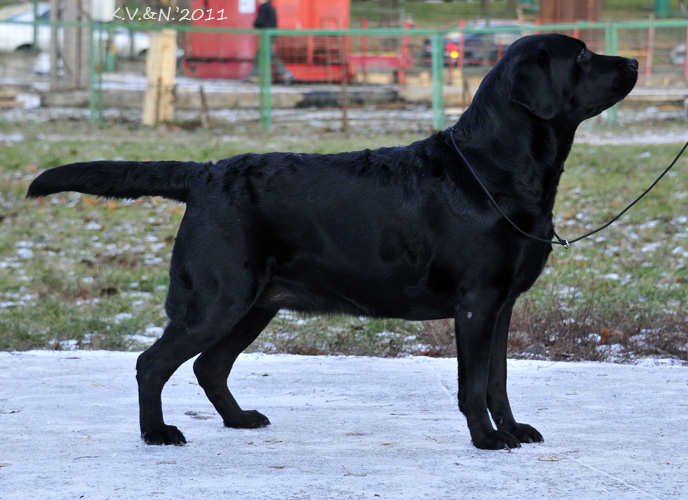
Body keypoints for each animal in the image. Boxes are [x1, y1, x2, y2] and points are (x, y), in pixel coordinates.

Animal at [28, 35, 640, 450]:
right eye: (581, 58)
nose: (634, 62)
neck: (495, 169)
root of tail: (202, 174)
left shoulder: (501, 305)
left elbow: (498, 381)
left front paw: (512, 430)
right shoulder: (476, 305)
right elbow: (472, 385)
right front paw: (488, 440)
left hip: (255, 302)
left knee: (209, 366)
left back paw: (239, 419)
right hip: (220, 297)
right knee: (152, 363)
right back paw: (157, 433)